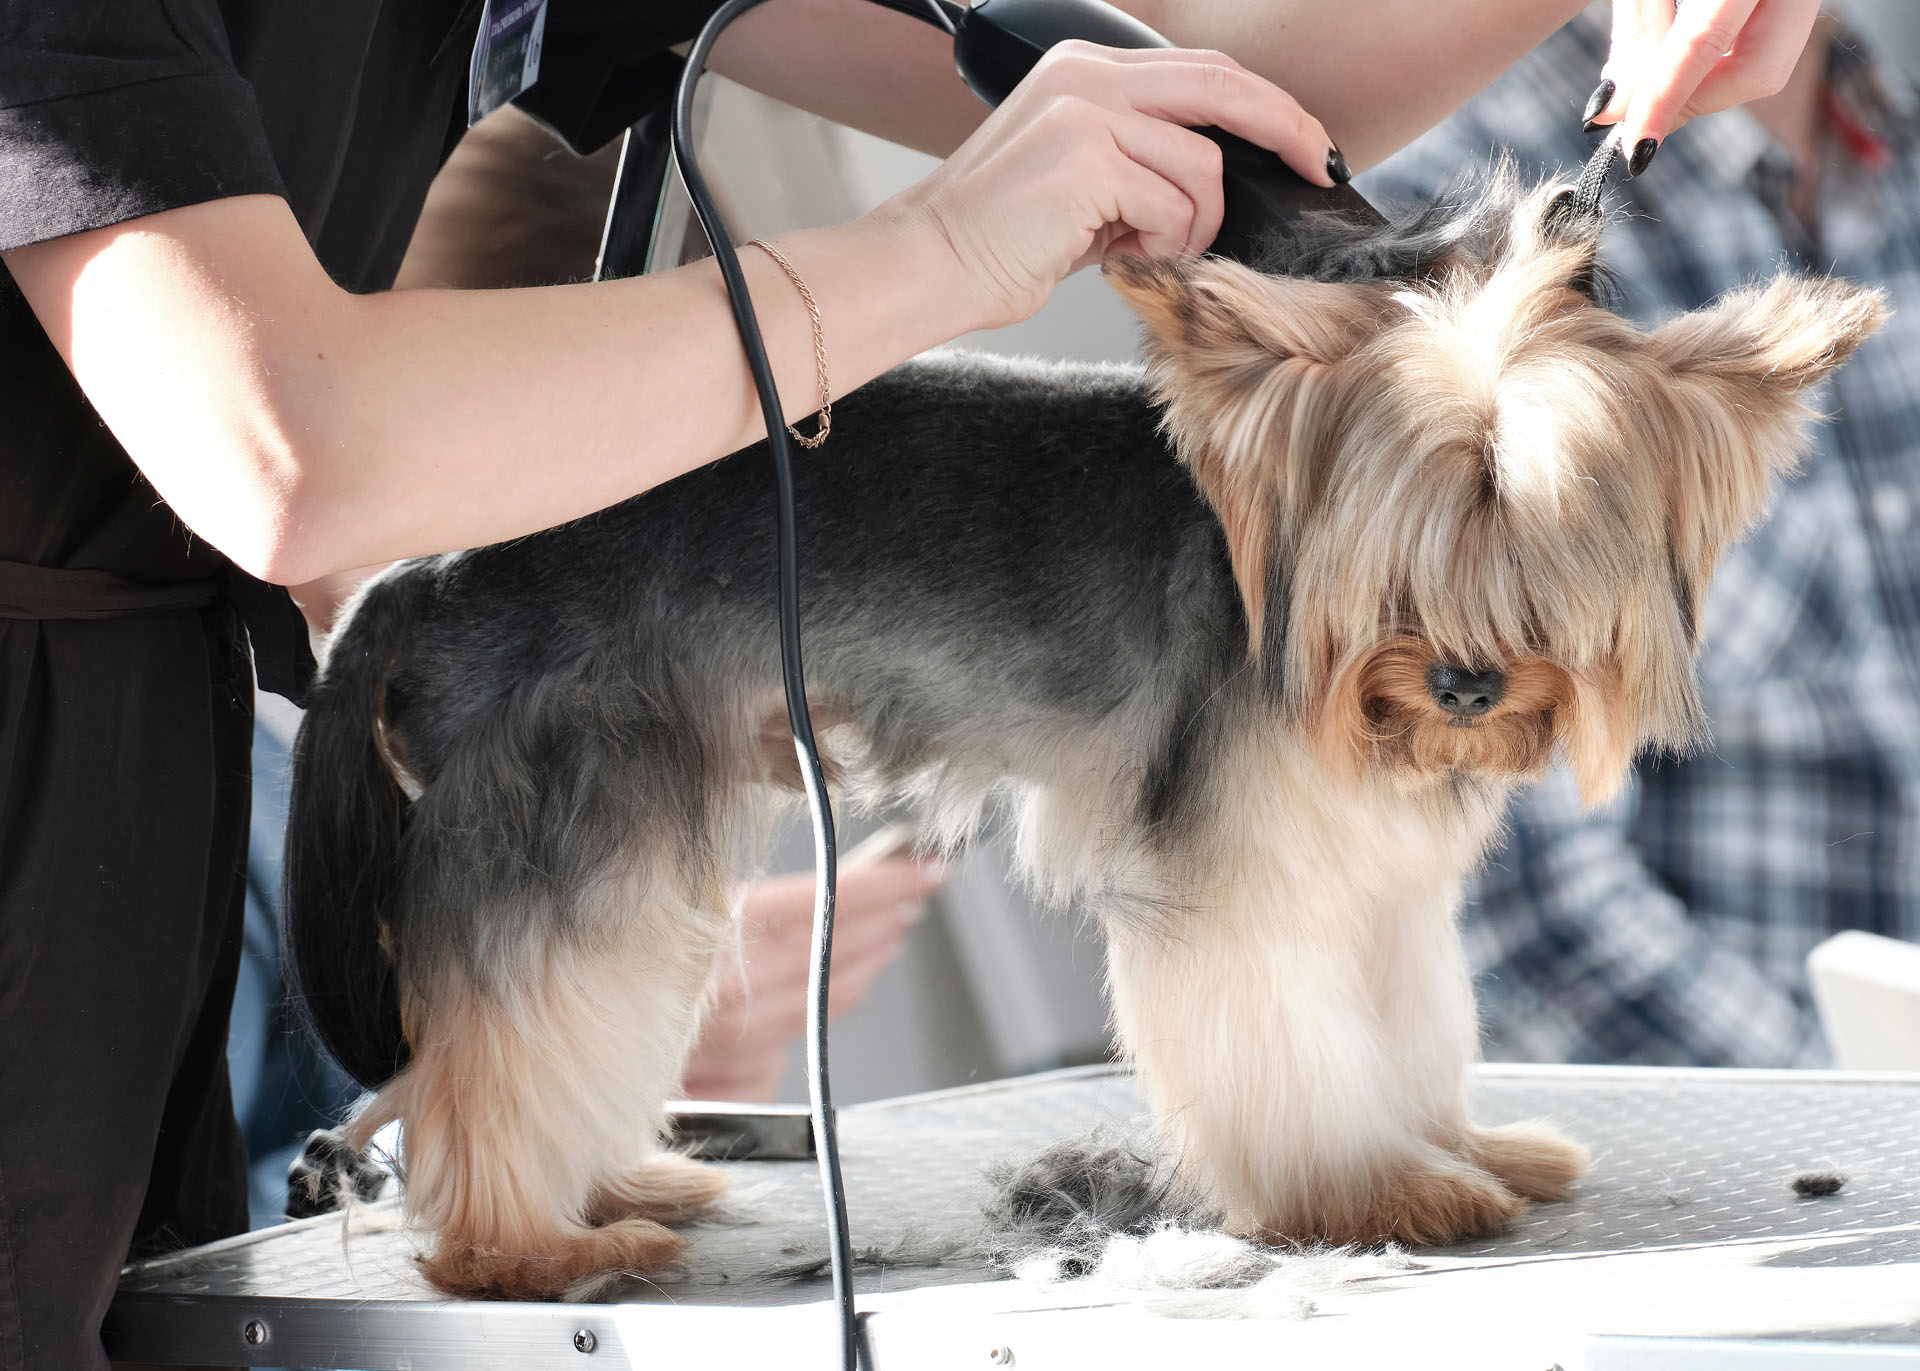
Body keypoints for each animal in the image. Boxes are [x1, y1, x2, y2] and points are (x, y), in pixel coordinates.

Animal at [280, 170, 1873, 1290]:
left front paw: (1458, 1142)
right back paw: (527, 1242)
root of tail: (428, 576)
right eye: (1394, 548)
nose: (1467, 687)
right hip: (575, 811)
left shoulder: (1376, 890)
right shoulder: (1243, 880)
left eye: (1552, 545)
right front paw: (1377, 1191)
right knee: (517, 1028)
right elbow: (1292, 1051)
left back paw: (613, 1183)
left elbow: (1410, 1027)